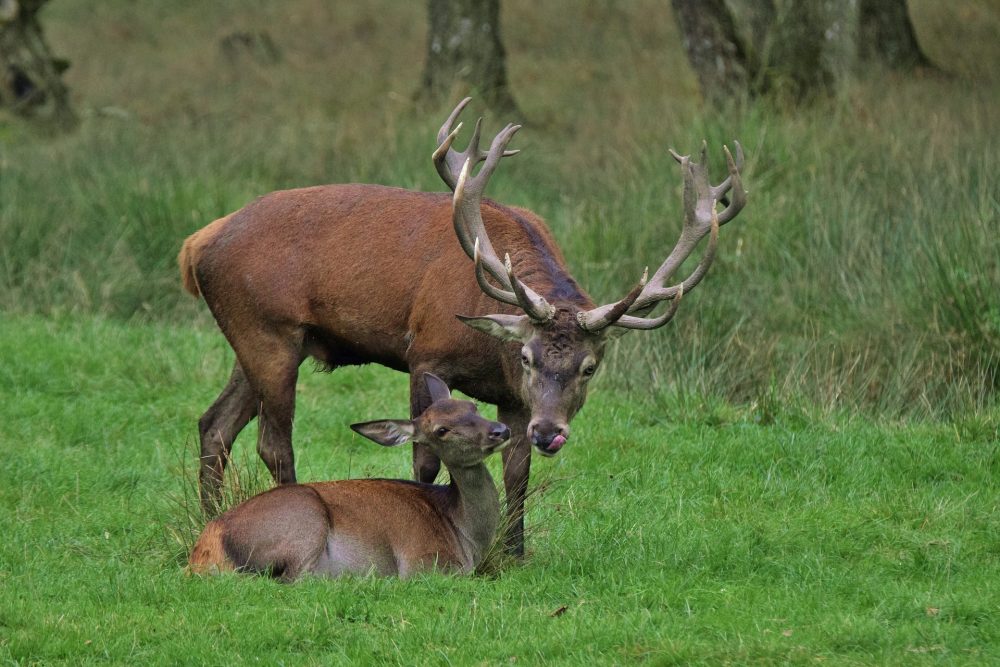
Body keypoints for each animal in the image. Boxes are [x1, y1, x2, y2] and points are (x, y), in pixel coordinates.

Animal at [180, 96, 748, 556]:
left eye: (589, 367)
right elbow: (424, 456)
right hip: (268, 329)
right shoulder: (425, 353)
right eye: (527, 356)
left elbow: (517, 469)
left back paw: (210, 519)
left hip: (263, 340)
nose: (551, 432)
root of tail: (197, 243)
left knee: (215, 424)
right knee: (272, 441)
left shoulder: (514, 399)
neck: (489, 349)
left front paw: (513, 550)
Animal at [188, 376, 508, 580]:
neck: (464, 535)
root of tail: (204, 551)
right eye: (442, 430)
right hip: (304, 520)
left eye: (473, 406)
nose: (500, 430)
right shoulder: (425, 563)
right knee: (293, 579)